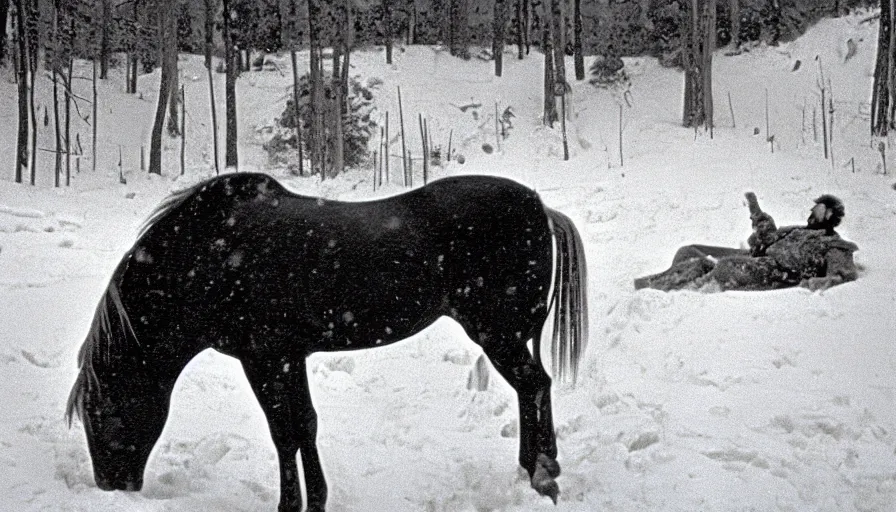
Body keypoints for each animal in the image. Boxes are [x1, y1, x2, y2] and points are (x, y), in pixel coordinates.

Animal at [66, 173, 592, 512]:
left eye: (102, 414)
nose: (111, 487)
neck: (209, 257)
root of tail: (540, 207)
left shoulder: (264, 359)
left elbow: (284, 431)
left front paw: (290, 504)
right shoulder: (288, 357)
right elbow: (305, 425)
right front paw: (315, 500)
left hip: (498, 334)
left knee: (534, 386)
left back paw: (543, 473)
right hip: (509, 336)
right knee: (531, 389)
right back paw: (532, 470)